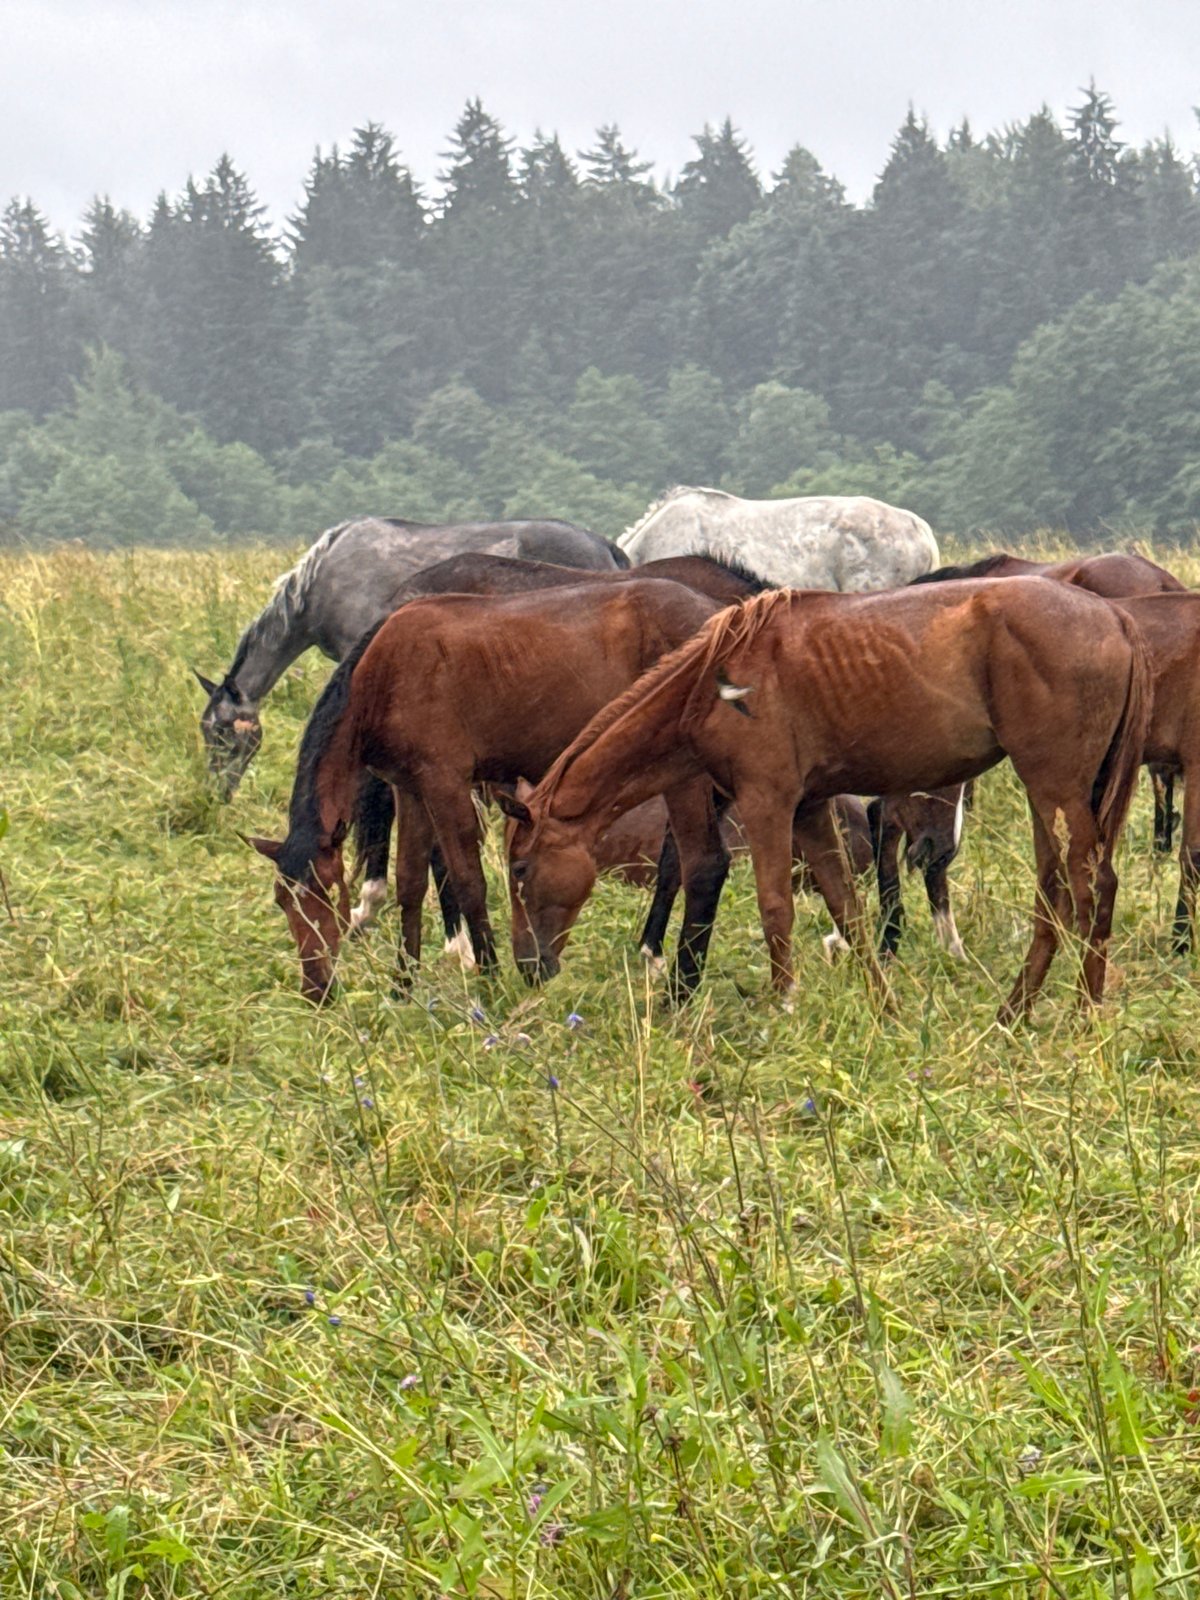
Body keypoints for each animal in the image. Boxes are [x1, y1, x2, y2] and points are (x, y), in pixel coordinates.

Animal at [245, 578, 728, 1002]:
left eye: (328, 894)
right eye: (282, 902)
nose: (316, 988)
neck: (383, 673)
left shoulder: (446, 785)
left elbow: (468, 881)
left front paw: (489, 976)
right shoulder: (411, 790)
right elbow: (409, 884)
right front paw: (402, 986)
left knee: (698, 863)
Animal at [501, 578, 1150, 1022]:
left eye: (521, 868)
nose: (527, 968)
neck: (710, 685)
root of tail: (1115, 616)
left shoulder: (768, 803)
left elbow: (775, 907)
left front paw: (784, 1001)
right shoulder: (810, 811)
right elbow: (849, 912)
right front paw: (885, 1008)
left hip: (1055, 789)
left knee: (1088, 888)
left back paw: (1082, 1011)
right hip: (1058, 797)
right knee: (1057, 894)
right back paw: (1014, 1012)